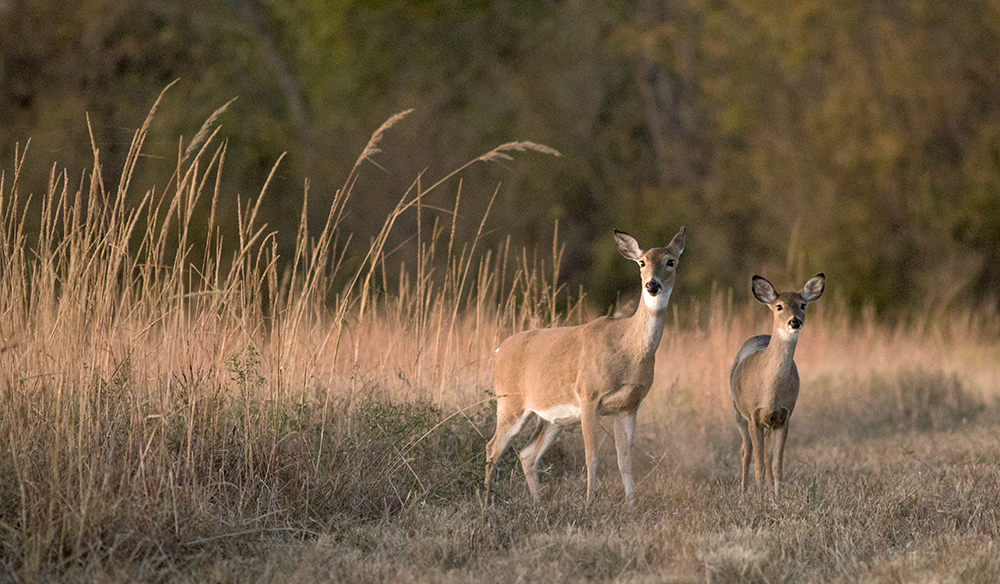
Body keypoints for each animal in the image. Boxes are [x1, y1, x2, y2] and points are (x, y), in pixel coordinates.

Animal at [484, 227, 688, 506]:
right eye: (642, 262)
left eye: (670, 261)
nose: (652, 284)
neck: (628, 348)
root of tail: (498, 351)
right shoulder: (589, 396)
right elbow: (591, 455)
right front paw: (590, 501)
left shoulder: (629, 406)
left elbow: (625, 459)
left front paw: (631, 505)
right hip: (510, 402)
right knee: (493, 447)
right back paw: (487, 501)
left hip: (553, 419)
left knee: (527, 454)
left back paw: (538, 502)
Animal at [732, 274, 824, 498]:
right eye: (779, 306)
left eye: (803, 305)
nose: (795, 321)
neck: (770, 393)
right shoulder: (753, 416)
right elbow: (758, 465)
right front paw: (758, 499)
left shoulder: (784, 417)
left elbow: (776, 465)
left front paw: (776, 499)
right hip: (738, 413)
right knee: (745, 452)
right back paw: (743, 493)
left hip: (768, 424)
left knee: (765, 455)